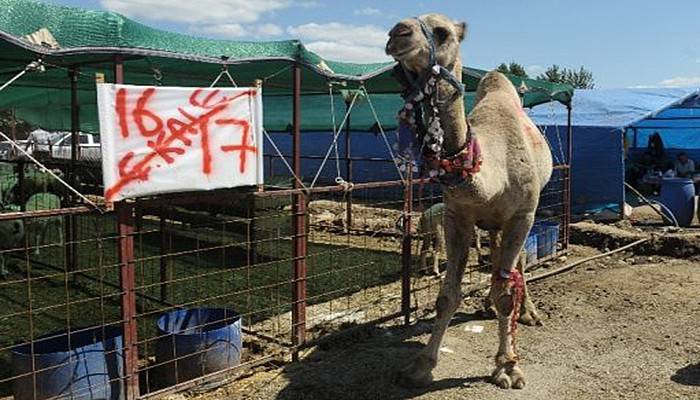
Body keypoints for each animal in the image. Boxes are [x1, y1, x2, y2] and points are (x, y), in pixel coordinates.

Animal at [386, 14, 548, 390]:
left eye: (442, 32)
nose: (397, 33)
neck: (490, 173)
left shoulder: (522, 214)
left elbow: (507, 291)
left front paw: (508, 368)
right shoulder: (457, 216)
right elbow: (446, 296)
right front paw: (419, 366)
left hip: (524, 214)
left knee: (516, 267)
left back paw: (529, 313)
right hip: (490, 223)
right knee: (497, 257)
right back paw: (487, 305)